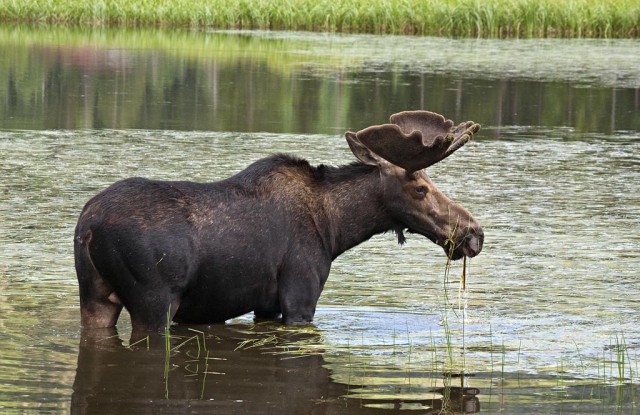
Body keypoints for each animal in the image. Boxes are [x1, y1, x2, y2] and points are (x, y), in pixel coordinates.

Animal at [74, 109, 484, 332]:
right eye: (420, 188)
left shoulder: (265, 303)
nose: (473, 233)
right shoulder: (300, 295)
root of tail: (88, 228)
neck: (336, 230)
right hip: (153, 301)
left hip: (95, 296)